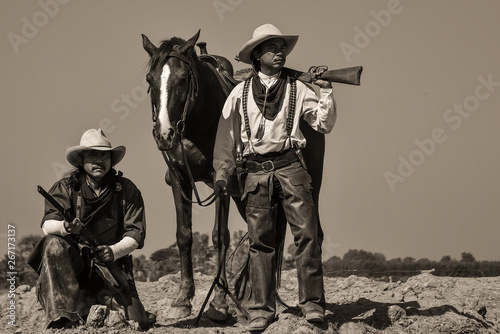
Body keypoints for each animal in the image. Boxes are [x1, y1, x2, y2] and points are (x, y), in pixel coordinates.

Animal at [143, 31, 326, 320]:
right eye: (150, 79)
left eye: (183, 78)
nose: (164, 134)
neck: (199, 121)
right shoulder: (179, 178)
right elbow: (184, 235)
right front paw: (183, 300)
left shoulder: (223, 182)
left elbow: (220, 237)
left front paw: (219, 302)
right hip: (246, 197)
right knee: (261, 235)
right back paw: (253, 297)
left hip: (311, 186)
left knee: (314, 234)